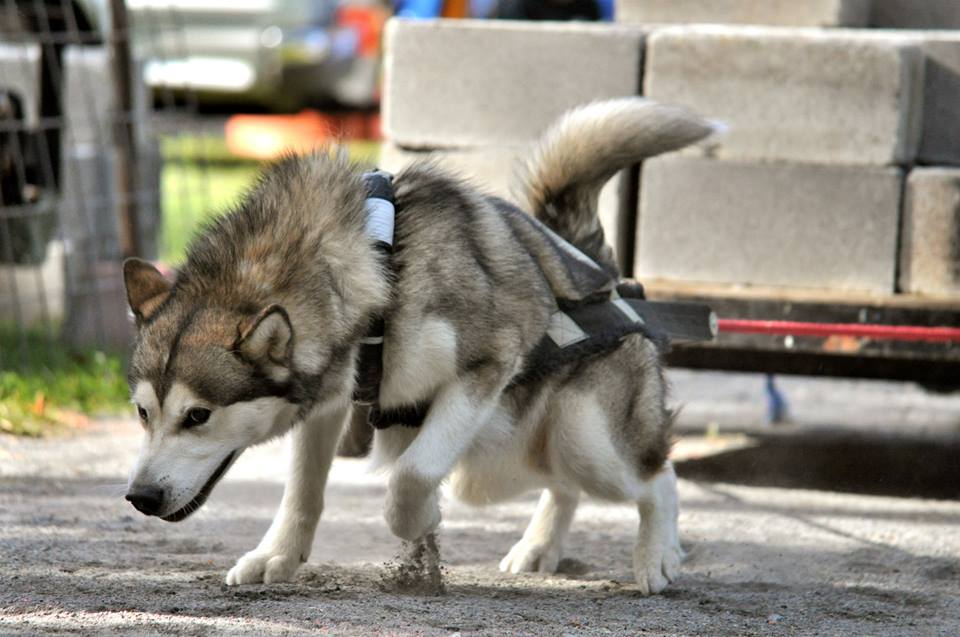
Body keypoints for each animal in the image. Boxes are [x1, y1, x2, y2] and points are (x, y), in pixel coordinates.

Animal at [122, 97, 712, 592]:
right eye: (142, 413)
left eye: (198, 416)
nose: (140, 497)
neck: (382, 266)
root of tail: (596, 266)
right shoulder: (329, 403)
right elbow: (303, 493)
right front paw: (278, 557)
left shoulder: (485, 367)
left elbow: (411, 478)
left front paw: (422, 520)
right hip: (506, 463)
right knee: (564, 486)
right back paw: (539, 545)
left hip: (583, 438)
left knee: (658, 477)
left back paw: (657, 555)